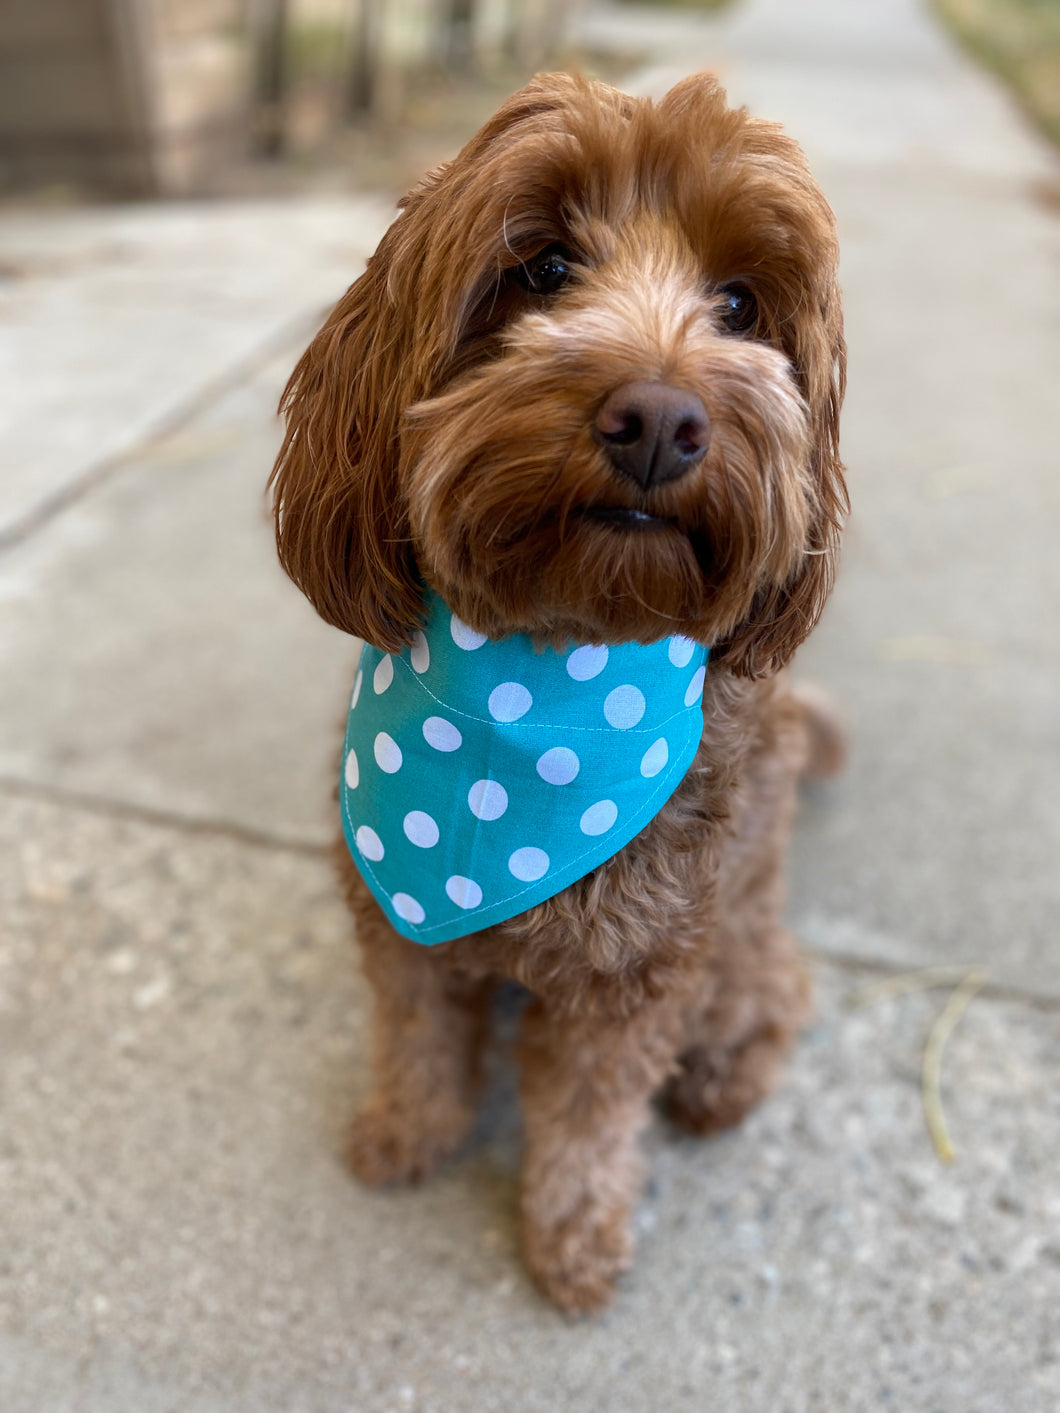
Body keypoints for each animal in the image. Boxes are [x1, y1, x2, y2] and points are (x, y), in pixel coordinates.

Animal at [271, 74, 848, 1311]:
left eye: (739, 302)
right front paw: (409, 1129)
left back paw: (721, 1078)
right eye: (542, 268)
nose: (659, 419)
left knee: (775, 991)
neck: (543, 681)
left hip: (733, 927)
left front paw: (574, 1235)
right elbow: (416, 1034)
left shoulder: (637, 970)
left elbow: (590, 1114)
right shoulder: (399, 934)